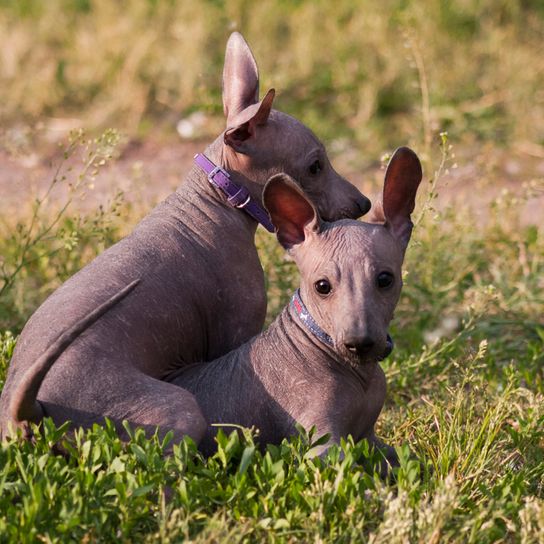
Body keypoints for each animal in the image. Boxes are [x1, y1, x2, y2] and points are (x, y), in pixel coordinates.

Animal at [0, 33, 370, 442]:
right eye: (316, 166)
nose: (364, 203)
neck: (213, 202)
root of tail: (25, 409)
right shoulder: (236, 334)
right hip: (179, 406)